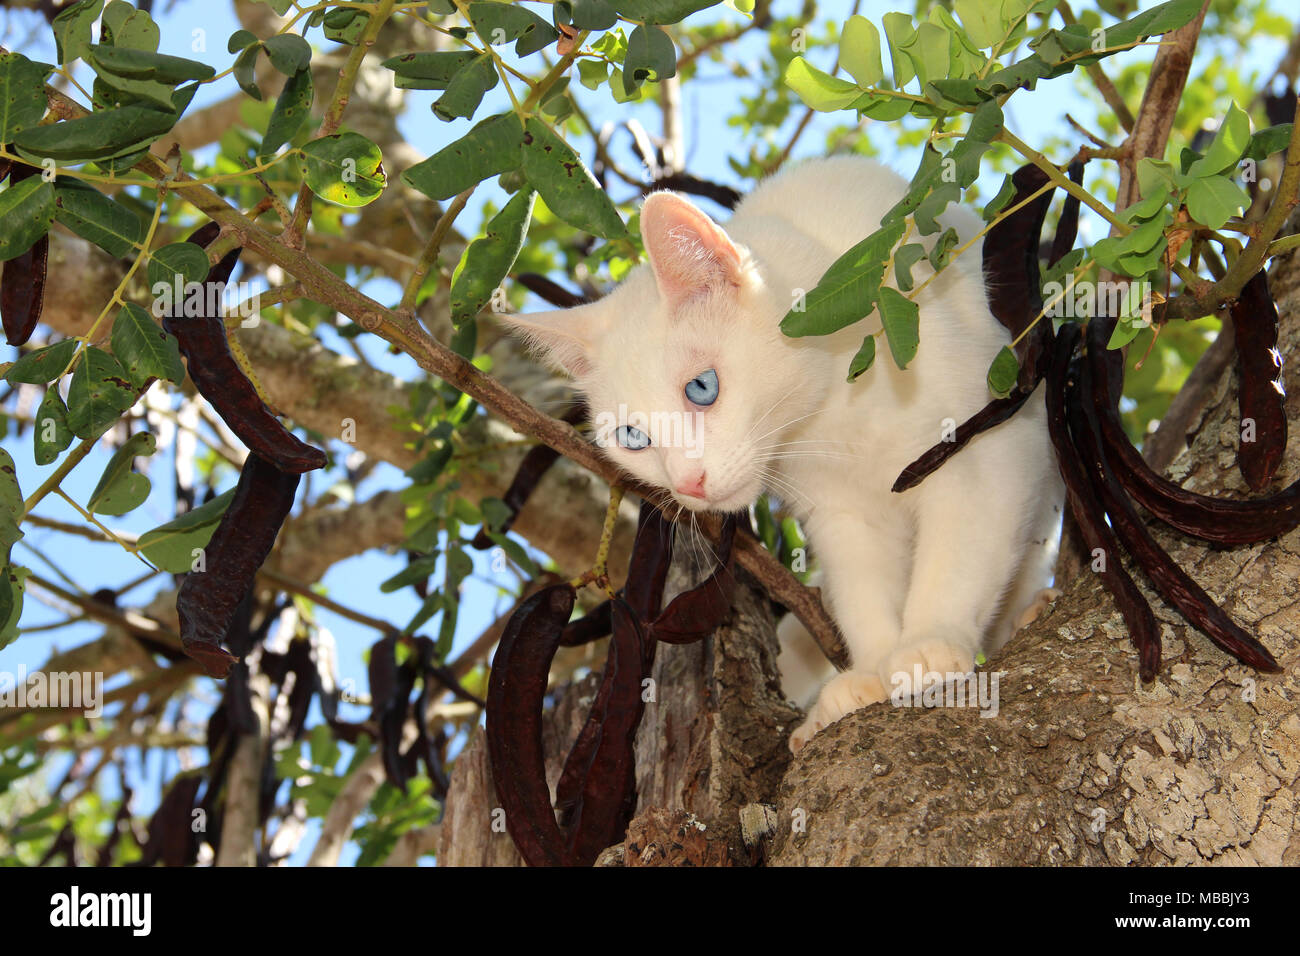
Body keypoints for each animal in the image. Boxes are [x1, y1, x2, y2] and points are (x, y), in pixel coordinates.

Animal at [501, 157, 1060, 749]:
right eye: (632, 437)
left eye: (702, 387)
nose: (689, 483)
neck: (835, 401)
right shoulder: (843, 513)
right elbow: (863, 587)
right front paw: (872, 669)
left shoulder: (993, 439)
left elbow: (962, 552)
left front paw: (929, 641)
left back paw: (1026, 611)